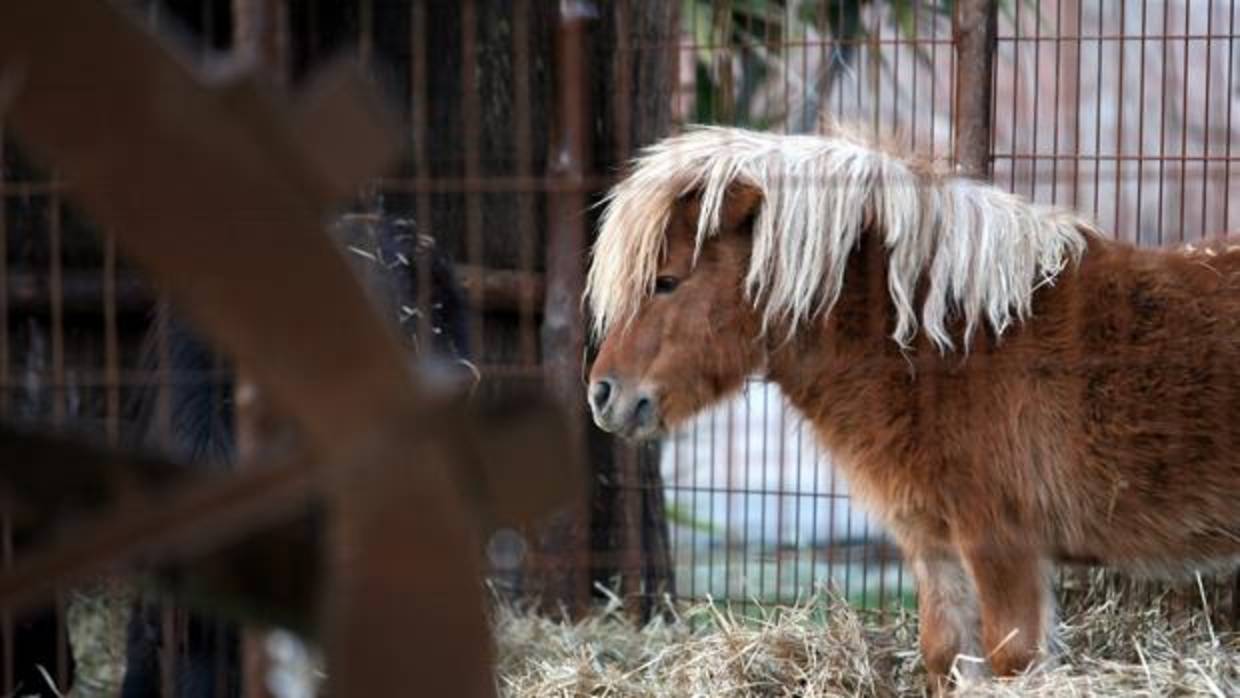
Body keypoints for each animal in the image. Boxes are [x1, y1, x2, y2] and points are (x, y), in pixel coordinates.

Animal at [585, 123, 1240, 689]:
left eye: (667, 281)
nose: (603, 393)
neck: (953, 345)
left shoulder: (1002, 545)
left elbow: (1013, 658)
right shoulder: (933, 545)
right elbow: (946, 654)